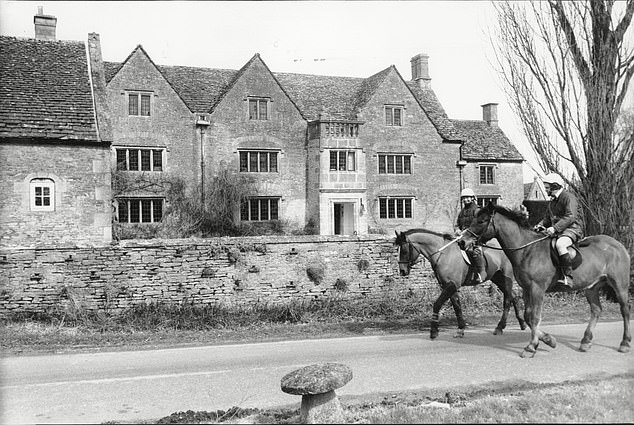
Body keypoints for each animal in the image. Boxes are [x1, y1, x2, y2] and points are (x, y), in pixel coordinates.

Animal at [396, 227, 524, 340]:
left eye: (404, 250)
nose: (402, 271)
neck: (443, 254)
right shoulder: (448, 286)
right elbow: (457, 307)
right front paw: (460, 330)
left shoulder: (451, 285)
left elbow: (437, 304)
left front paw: (434, 331)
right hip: (497, 278)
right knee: (514, 296)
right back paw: (521, 323)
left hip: (506, 278)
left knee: (507, 300)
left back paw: (500, 327)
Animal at [456, 204, 628, 356]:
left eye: (482, 221)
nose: (461, 242)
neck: (527, 250)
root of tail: (618, 245)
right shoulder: (526, 289)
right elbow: (528, 316)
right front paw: (548, 340)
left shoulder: (537, 289)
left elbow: (534, 317)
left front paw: (531, 347)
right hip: (591, 287)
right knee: (596, 310)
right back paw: (585, 341)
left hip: (620, 285)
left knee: (625, 310)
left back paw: (624, 343)